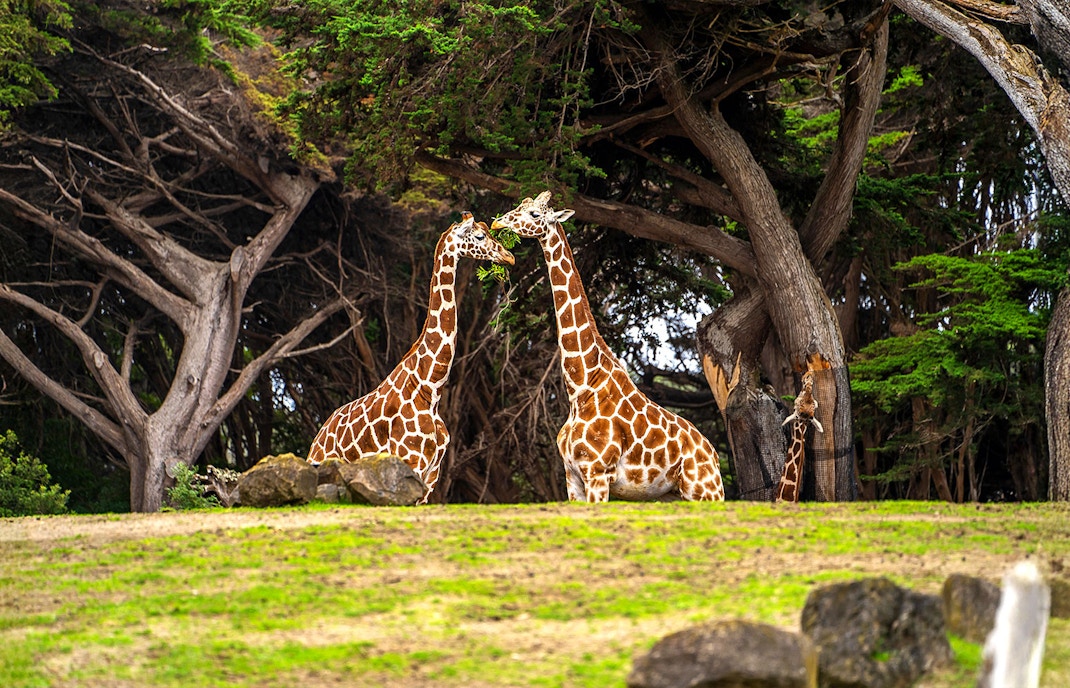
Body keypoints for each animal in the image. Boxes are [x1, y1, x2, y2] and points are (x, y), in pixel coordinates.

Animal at [307, 213, 514, 502]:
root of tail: (318, 438)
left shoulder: (432, 474)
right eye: (480, 236)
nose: (509, 256)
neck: (430, 387)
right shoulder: (410, 460)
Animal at [492, 192, 725, 502]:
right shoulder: (572, 478)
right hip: (672, 494)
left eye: (534, 214)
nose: (497, 222)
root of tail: (714, 455)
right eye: (520, 204)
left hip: (705, 491)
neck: (580, 387)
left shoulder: (597, 473)